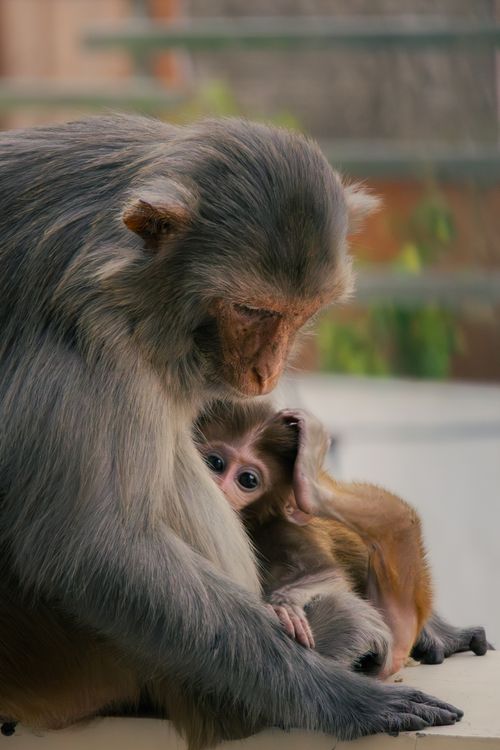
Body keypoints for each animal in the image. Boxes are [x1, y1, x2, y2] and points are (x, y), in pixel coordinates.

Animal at [195, 400, 490, 679]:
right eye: (216, 463)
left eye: (247, 479)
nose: (219, 489)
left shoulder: (281, 527)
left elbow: (327, 573)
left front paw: (284, 606)